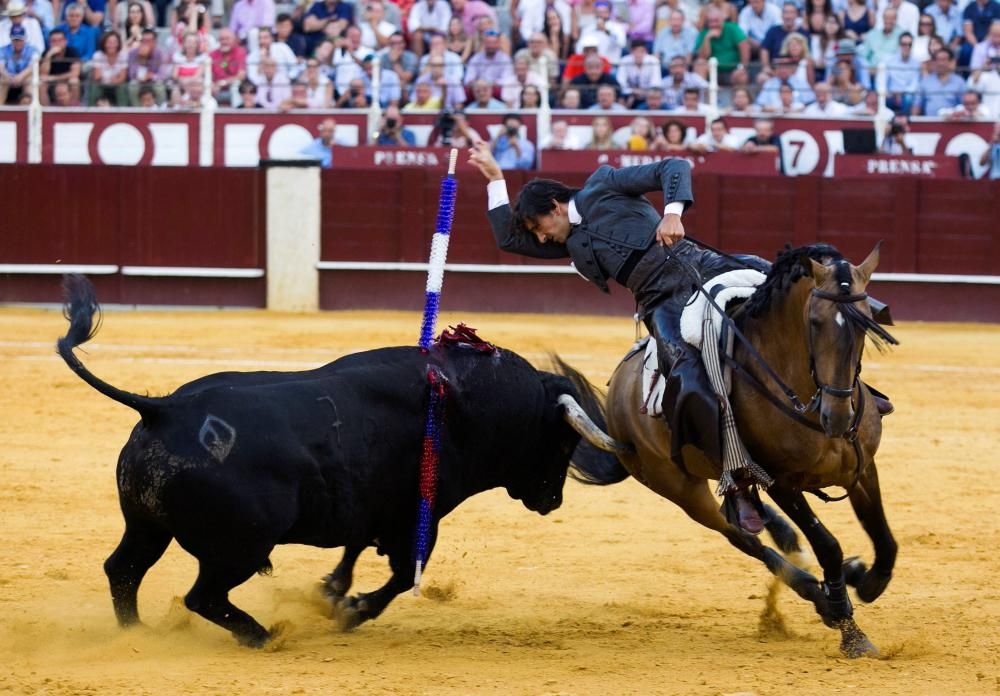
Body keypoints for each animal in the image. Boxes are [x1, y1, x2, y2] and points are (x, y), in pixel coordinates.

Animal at [56, 276, 624, 648]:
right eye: (562, 443)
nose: (553, 500)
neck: (468, 400)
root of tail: (164, 408)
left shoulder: (370, 506)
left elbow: (355, 550)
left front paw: (331, 592)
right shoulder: (417, 516)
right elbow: (402, 575)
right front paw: (350, 611)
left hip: (147, 525)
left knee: (123, 570)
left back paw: (136, 634)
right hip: (240, 547)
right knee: (202, 596)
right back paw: (263, 636)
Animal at [568, 243, 904, 656]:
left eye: (867, 323)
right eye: (814, 322)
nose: (838, 417)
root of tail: (618, 386)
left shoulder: (863, 469)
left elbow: (884, 538)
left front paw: (867, 582)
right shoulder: (782, 482)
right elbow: (828, 544)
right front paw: (849, 627)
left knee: (751, 514)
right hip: (681, 490)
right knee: (742, 537)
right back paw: (819, 596)